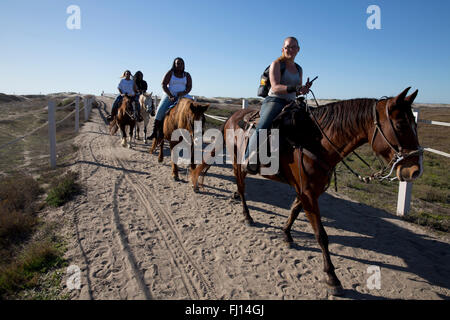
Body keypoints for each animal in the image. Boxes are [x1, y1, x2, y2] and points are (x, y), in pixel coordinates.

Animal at [190, 87, 422, 296]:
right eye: (400, 124)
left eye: (415, 124)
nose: (414, 171)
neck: (316, 141)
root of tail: (232, 117)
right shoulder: (309, 193)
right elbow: (321, 234)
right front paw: (332, 277)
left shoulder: (308, 191)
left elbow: (294, 211)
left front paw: (286, 234)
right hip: (239, 163)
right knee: (241, 187)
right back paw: (247, 215)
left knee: (241, 188)